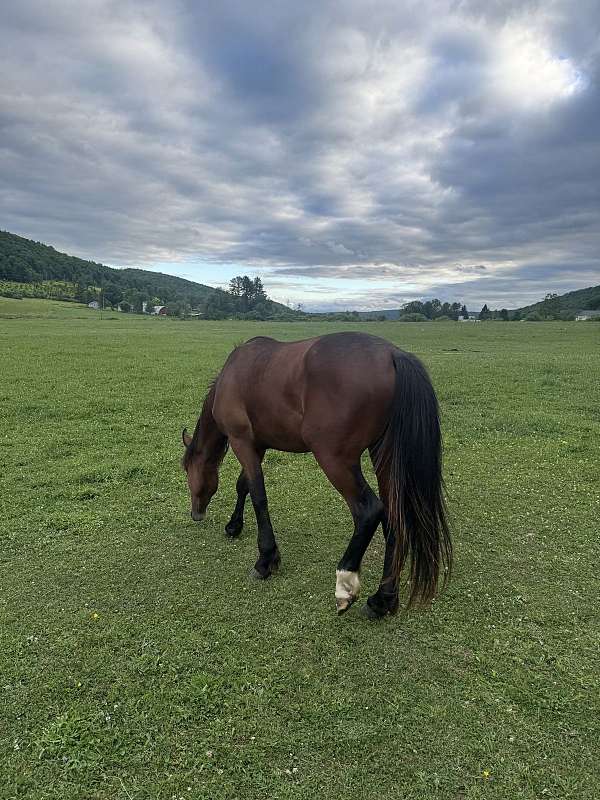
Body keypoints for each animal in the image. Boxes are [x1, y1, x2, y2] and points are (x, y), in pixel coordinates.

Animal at [181, 331, 451, 619]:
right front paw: (234, 525)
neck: (232, 374)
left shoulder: (241, 440)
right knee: (394, 517)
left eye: (186, 469)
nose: (196, 513)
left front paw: (266, 559)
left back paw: (345, 584)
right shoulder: (258, 445)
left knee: (369, 511)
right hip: (384, 456)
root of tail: (392, 354)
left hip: (334, 459)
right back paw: (382, 599)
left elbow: (258, 495)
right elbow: (243, 485)